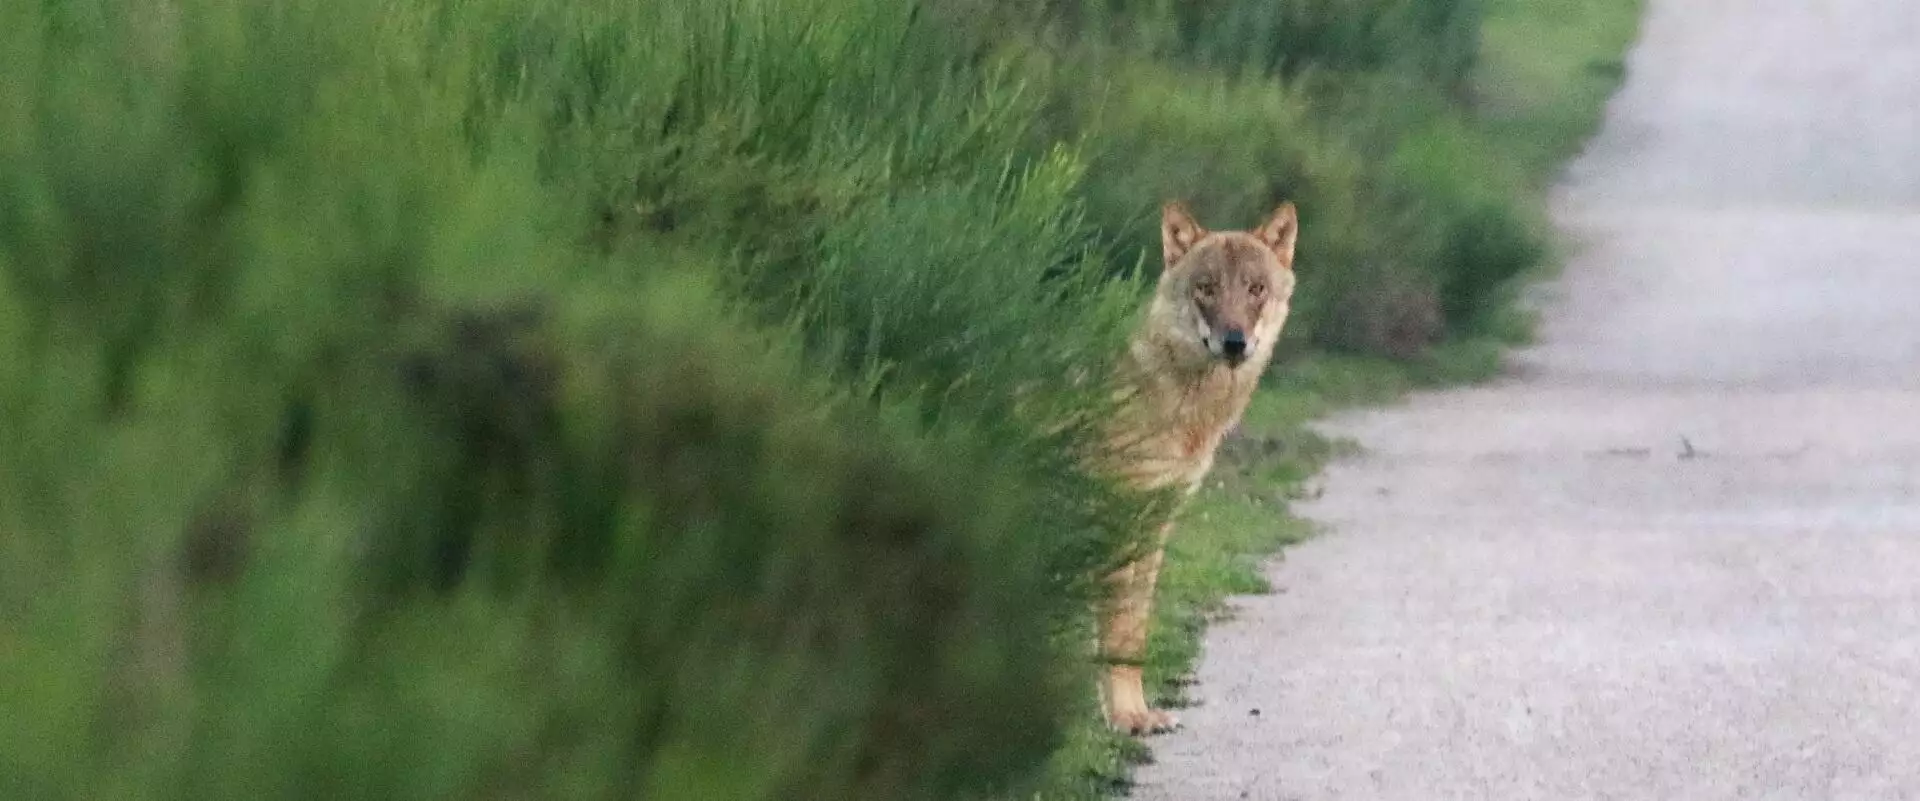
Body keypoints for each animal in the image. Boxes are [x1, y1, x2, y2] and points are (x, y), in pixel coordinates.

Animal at [1098, 201, 1305, 737]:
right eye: (1206, 287)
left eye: (1255, 289)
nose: (1234, 343)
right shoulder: (1119, 520)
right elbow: (1116, 633)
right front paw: (1125, 719)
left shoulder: (1155, 526)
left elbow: (1133, 635)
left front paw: (1136, 713)